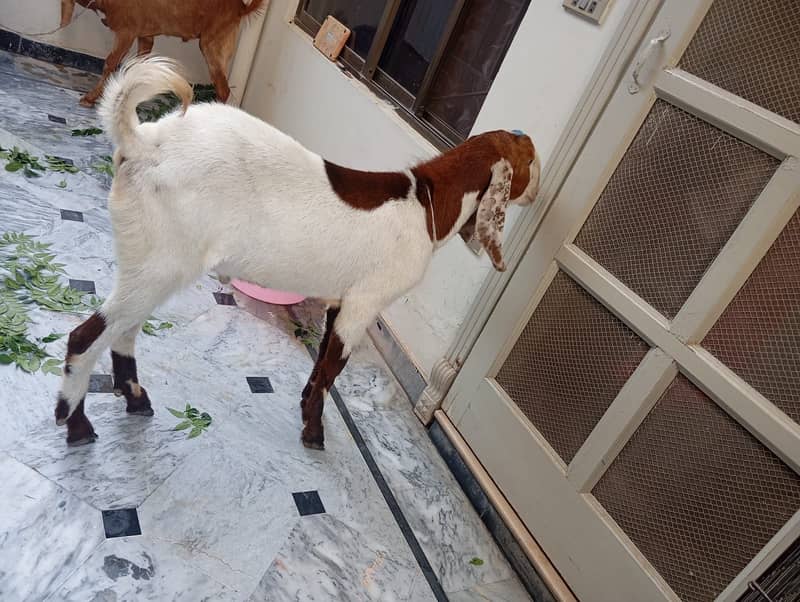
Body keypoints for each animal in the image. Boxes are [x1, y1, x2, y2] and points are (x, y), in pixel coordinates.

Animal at [54, 57, 542, 450]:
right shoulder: (364, 304)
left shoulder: (338, 301)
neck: (425, 201)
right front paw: (314, 433)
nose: (537, 193)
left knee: (123, 330)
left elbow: (320, 364)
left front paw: (305, 408)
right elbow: (332, 371)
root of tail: (144, 141)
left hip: (150, 265)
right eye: (531, 161)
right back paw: (76, 424)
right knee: (87, 336)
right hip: (163, 263)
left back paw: (136, 400)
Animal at [59, 0, 265, 106]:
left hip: (212, 48)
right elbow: (139, 65)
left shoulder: (126, 32)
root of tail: (240, 7)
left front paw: (90, 97)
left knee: (224, 90)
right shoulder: (145, 36)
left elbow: (110, 63)